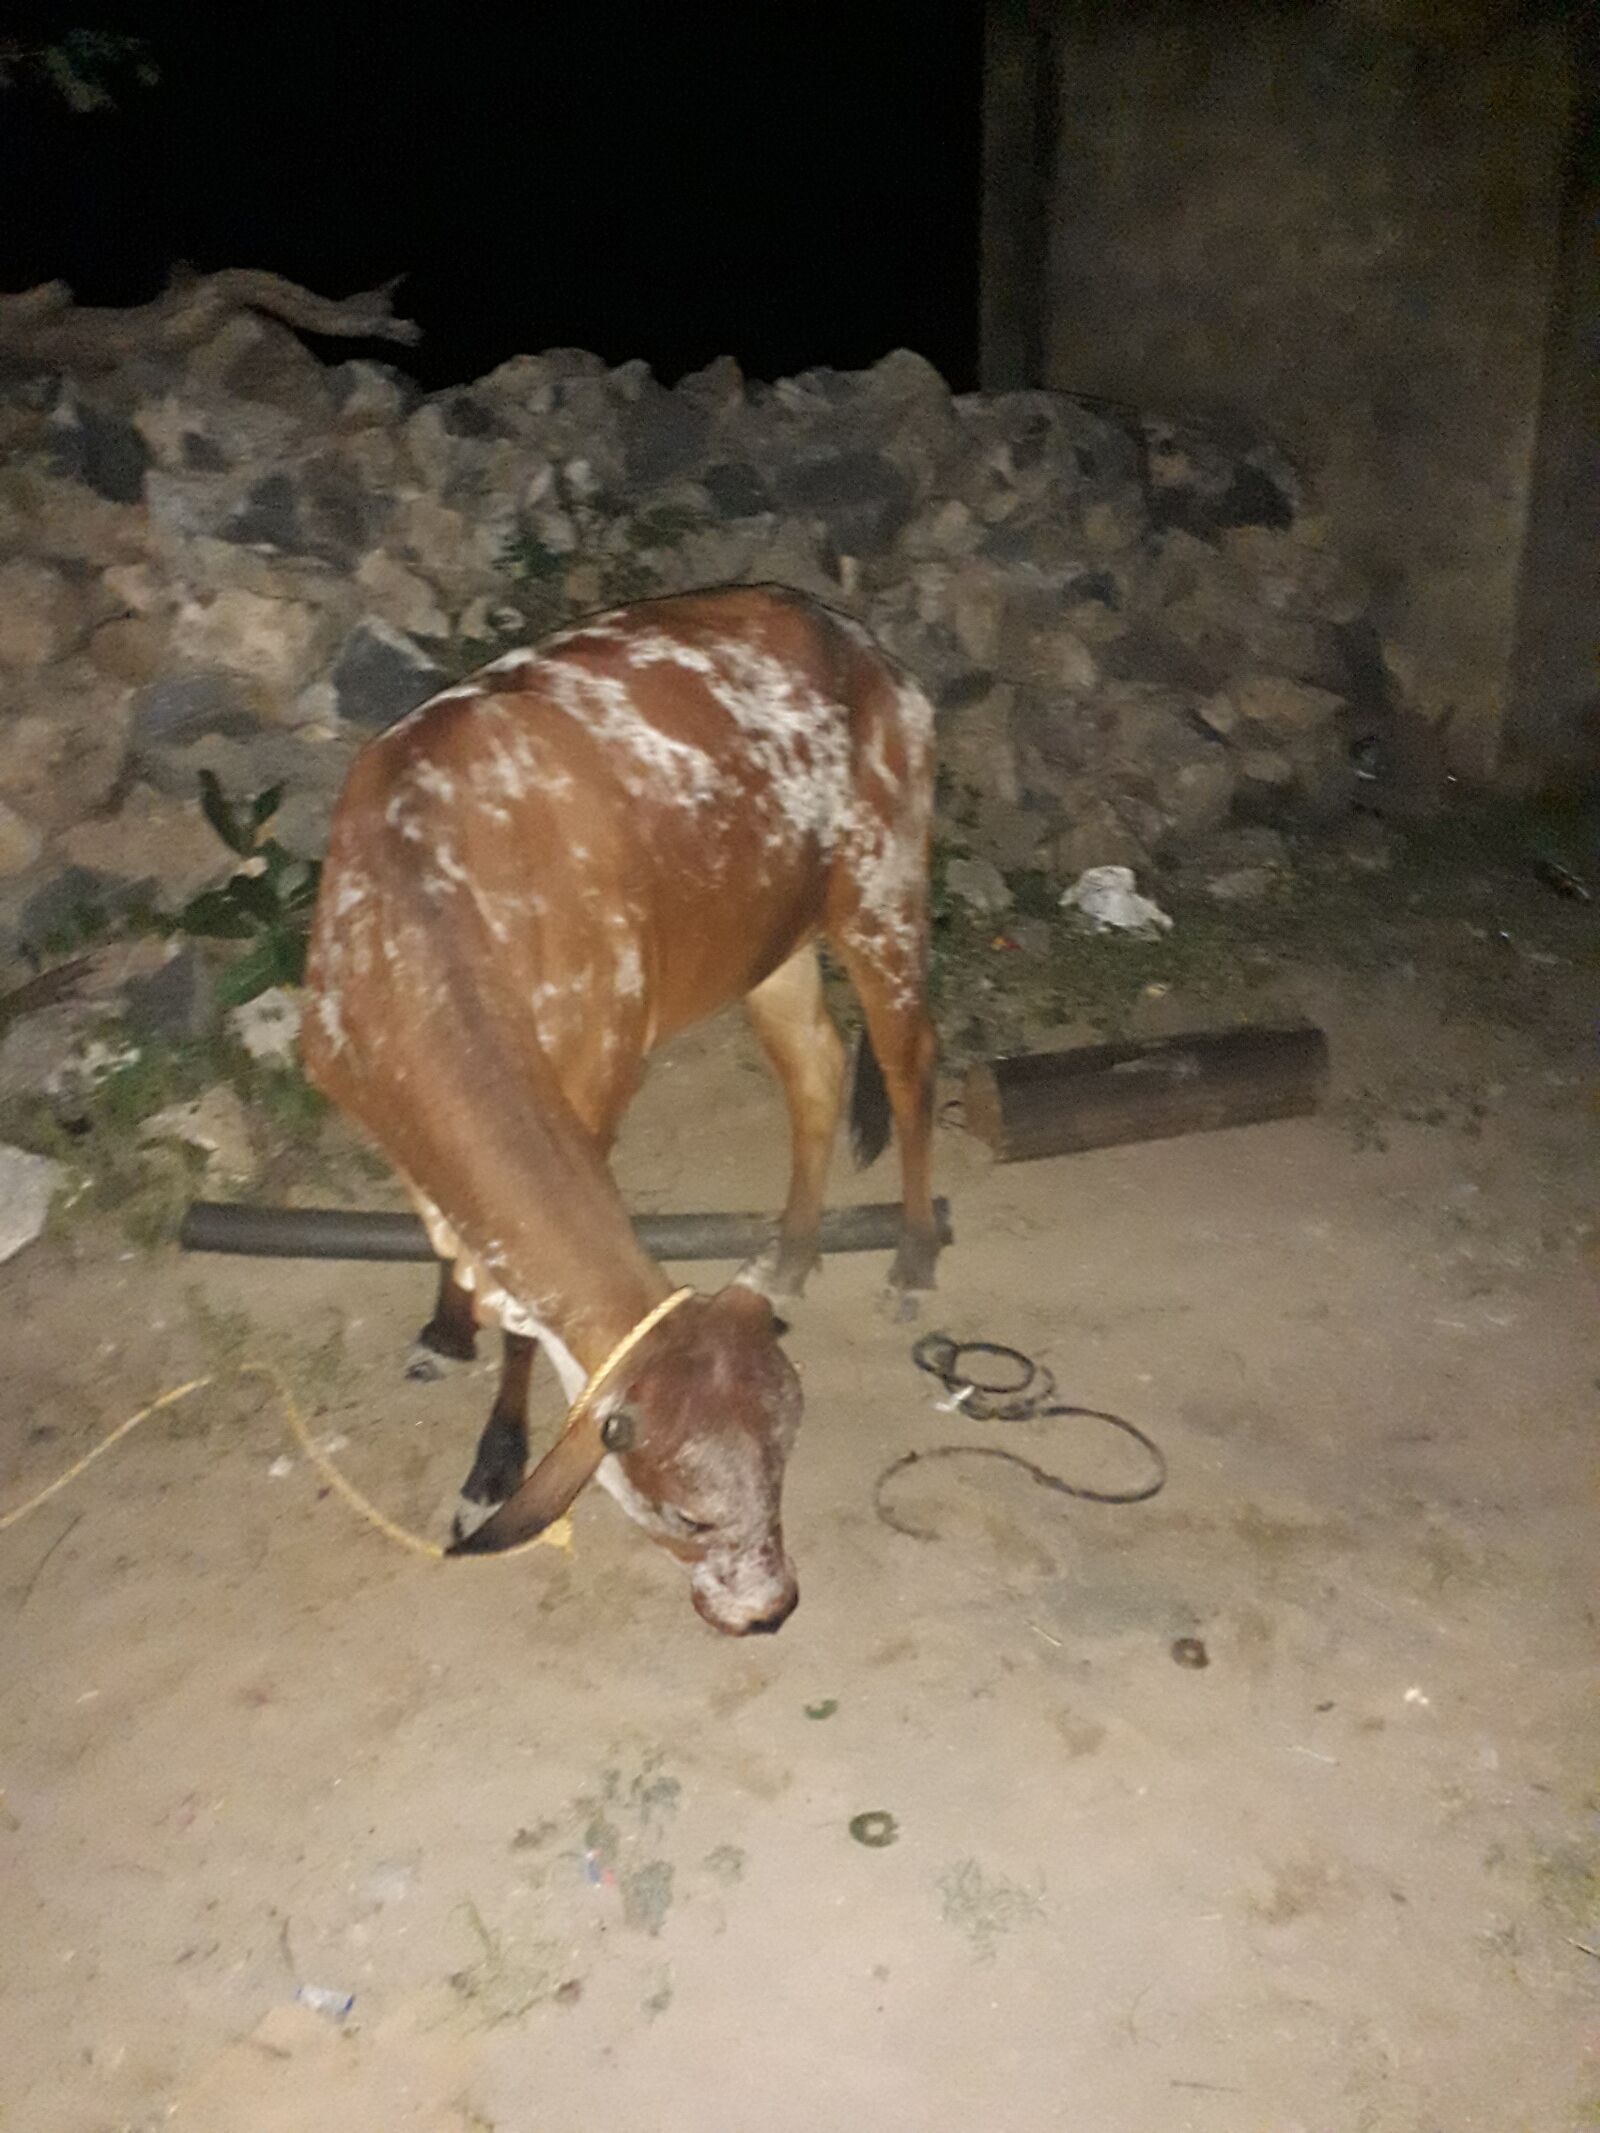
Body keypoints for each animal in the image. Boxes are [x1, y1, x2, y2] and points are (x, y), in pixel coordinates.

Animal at [300, 583, 938, 1633]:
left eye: (782, 1474)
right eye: (688, 1509)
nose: (771, 1608)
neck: (420, 898)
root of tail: (871, 649)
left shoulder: (598, 1073)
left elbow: (524, 1310)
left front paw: (493, 1460)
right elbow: (458, 1246)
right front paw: (444, 1332)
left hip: (885, 888)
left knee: (911, 1059)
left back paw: (915, 1262)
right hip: (771, 942)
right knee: (818, 1065)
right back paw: (791, 1255)